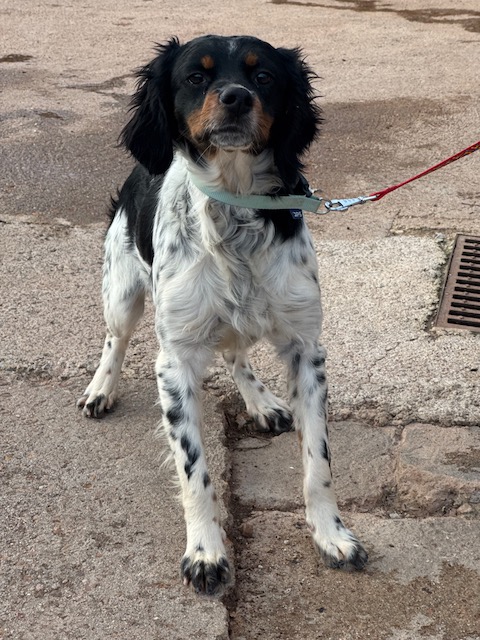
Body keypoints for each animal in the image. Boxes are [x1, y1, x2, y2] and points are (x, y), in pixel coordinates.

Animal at [78, 35, 368, 596]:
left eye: (264, 77)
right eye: (196, 76)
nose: (235, 98)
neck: (235, 208)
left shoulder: (306, 349)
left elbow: (318, 462)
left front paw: (331, 534)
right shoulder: (175, 362)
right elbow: (196, 473)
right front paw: (206, 552)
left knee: (236, 354)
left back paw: (260, 400)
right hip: (121, 292)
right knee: (114, 340)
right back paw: (101, 388)